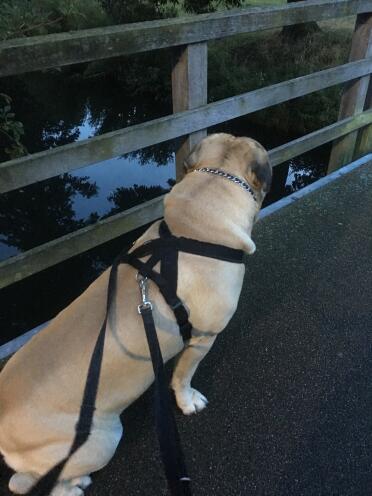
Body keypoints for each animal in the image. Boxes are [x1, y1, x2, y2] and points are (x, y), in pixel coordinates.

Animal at [0, 134, 272, 494]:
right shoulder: (203, 338)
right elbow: (183, 376)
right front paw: (188, 402)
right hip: (104, 439)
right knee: (37, 482)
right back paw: (76, 484)